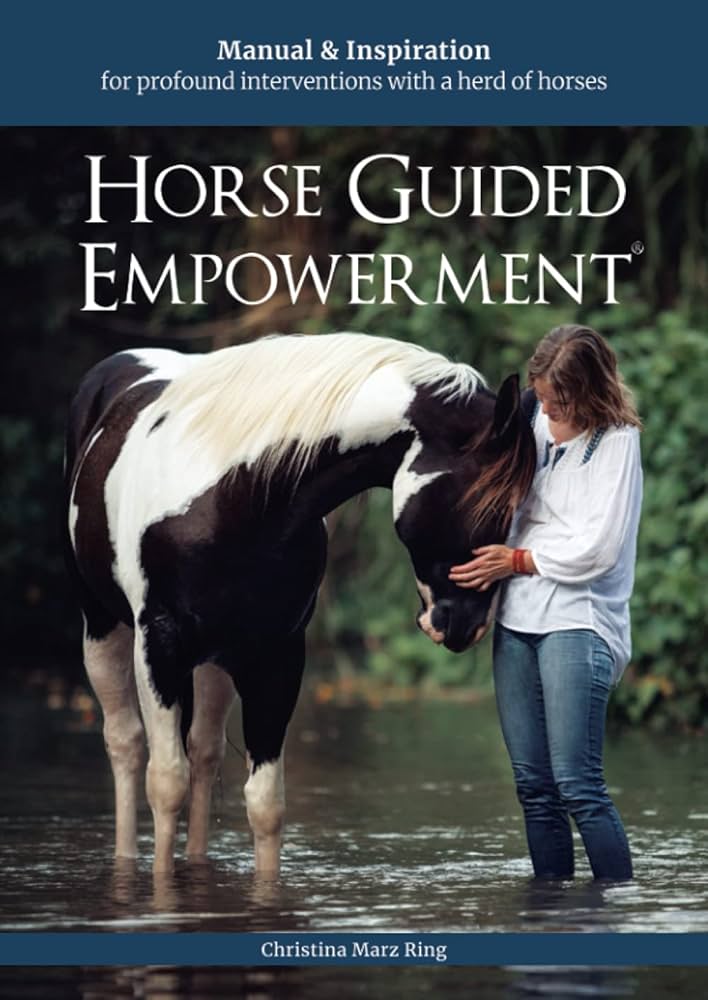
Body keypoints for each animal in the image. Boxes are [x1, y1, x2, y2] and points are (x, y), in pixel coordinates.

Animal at [65, 332, 535, 874]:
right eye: (489, 506)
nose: (463, 627)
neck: (238, 495)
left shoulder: (278, 655)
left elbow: (265, 803)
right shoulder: (158, 646)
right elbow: (165, 785)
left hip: (217, 659)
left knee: (204, 751)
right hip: (103, 627)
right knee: (125, 744)